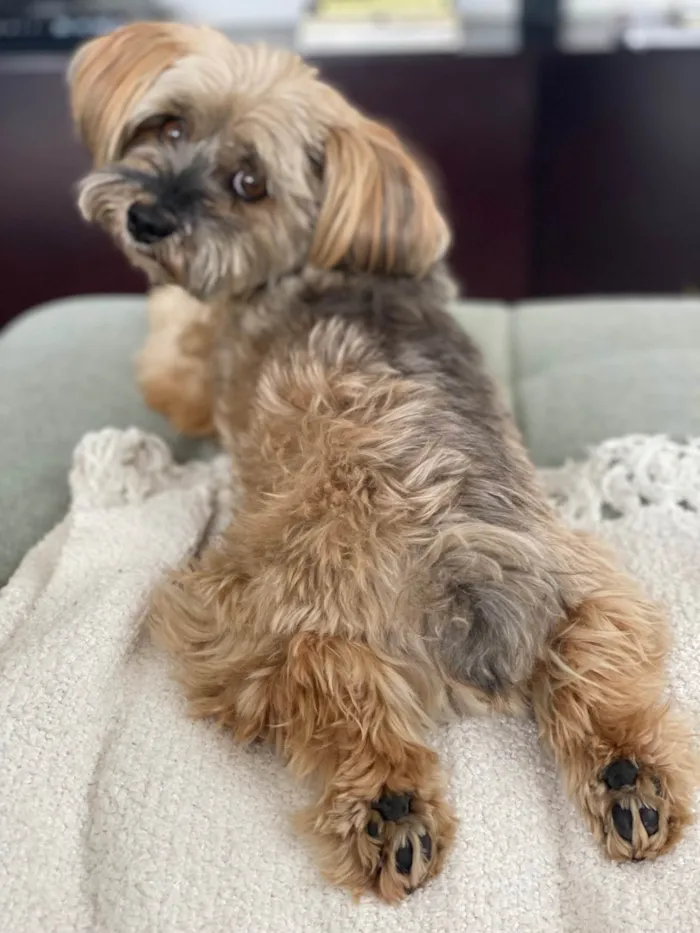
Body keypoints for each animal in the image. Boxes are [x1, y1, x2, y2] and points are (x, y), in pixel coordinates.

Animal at [68, 25, 696, 904]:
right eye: (168, 124)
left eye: (250, 183)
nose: (147, 217)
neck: (328, 257)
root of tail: (461, 580)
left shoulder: (194, 365)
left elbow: (169, 346)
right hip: (596, 590)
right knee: (604, 677)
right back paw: (630, 780)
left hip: (246, 621)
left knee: (333, 698)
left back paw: (387, 810)